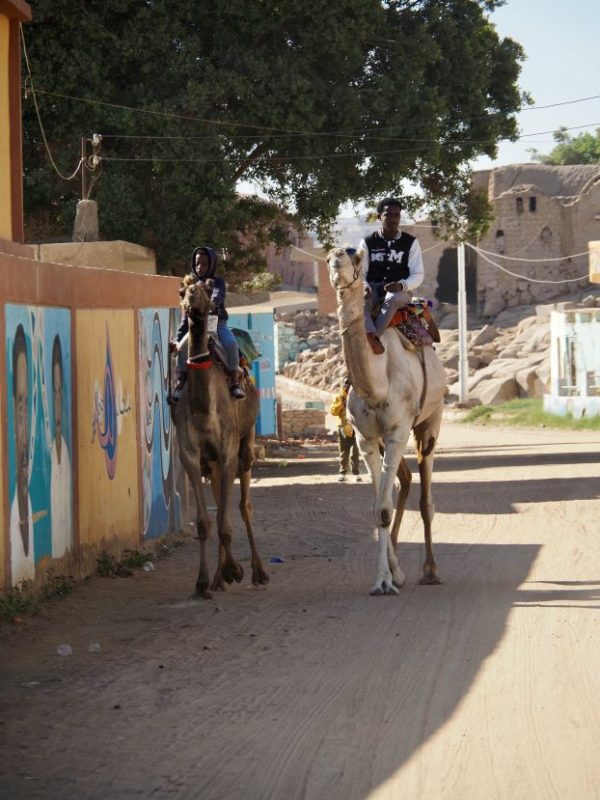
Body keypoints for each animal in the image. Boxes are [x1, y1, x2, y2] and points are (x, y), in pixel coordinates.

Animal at [170, 282, 270, 600]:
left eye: (205, 289)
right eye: (183, 291)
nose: (193, 302)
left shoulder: (227, 449)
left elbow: (227, 519)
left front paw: (234, 570)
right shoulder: (190, 454)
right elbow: (205, 522)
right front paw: (204, 581)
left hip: (245, 443)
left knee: (243, 504)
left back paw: (258, 572)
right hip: (211, 461)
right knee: (220, 502)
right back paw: (218, 577)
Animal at [326, 248, 448, 592]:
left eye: (354, 255)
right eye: (328, 257)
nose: (336, 256)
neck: (376, 385)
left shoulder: (397, 430)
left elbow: (383, 507)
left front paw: (384, 580)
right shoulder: (366, 438)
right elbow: (378, 507)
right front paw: (387, 576)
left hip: (430, 420)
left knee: (426, 498)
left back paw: (431, 571)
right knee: (403, 480)